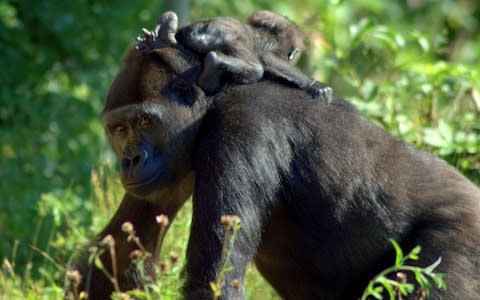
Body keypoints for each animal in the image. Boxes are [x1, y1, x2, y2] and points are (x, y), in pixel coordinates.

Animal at [142, 10, 332, 102]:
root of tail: (201, 31)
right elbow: (267, 58)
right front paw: (314, 85)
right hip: (224, 37)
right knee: (256, 69)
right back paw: (212, 68)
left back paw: (163, 35)